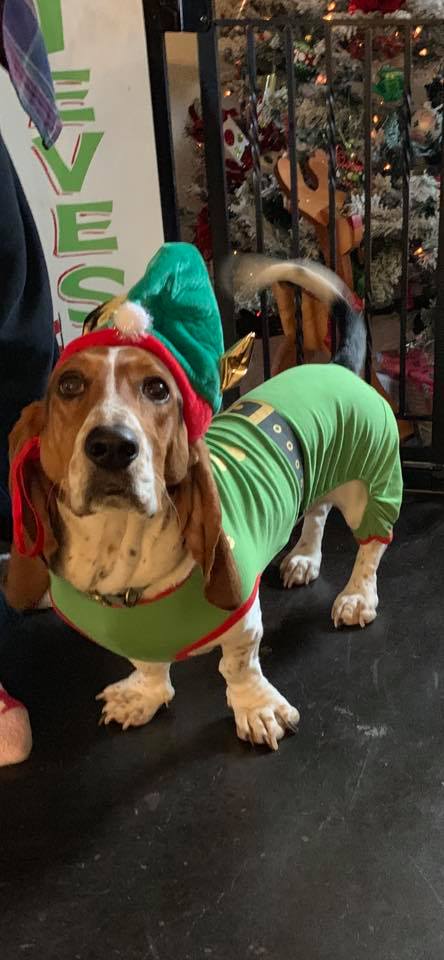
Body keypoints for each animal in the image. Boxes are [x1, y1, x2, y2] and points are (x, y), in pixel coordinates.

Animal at [3, 246, 402, 752]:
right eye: (69, 385)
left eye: (157, 389)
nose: (112, 446)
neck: (119, 552)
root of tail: (334, 364)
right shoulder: (139, 637)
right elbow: (148, 665)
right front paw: (144, 695)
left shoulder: (243, 620)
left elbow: (238, 665)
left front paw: (258, 710)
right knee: (315, 511)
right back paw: (304, 558)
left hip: (371, 483)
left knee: (371, 546)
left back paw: (356, 597)